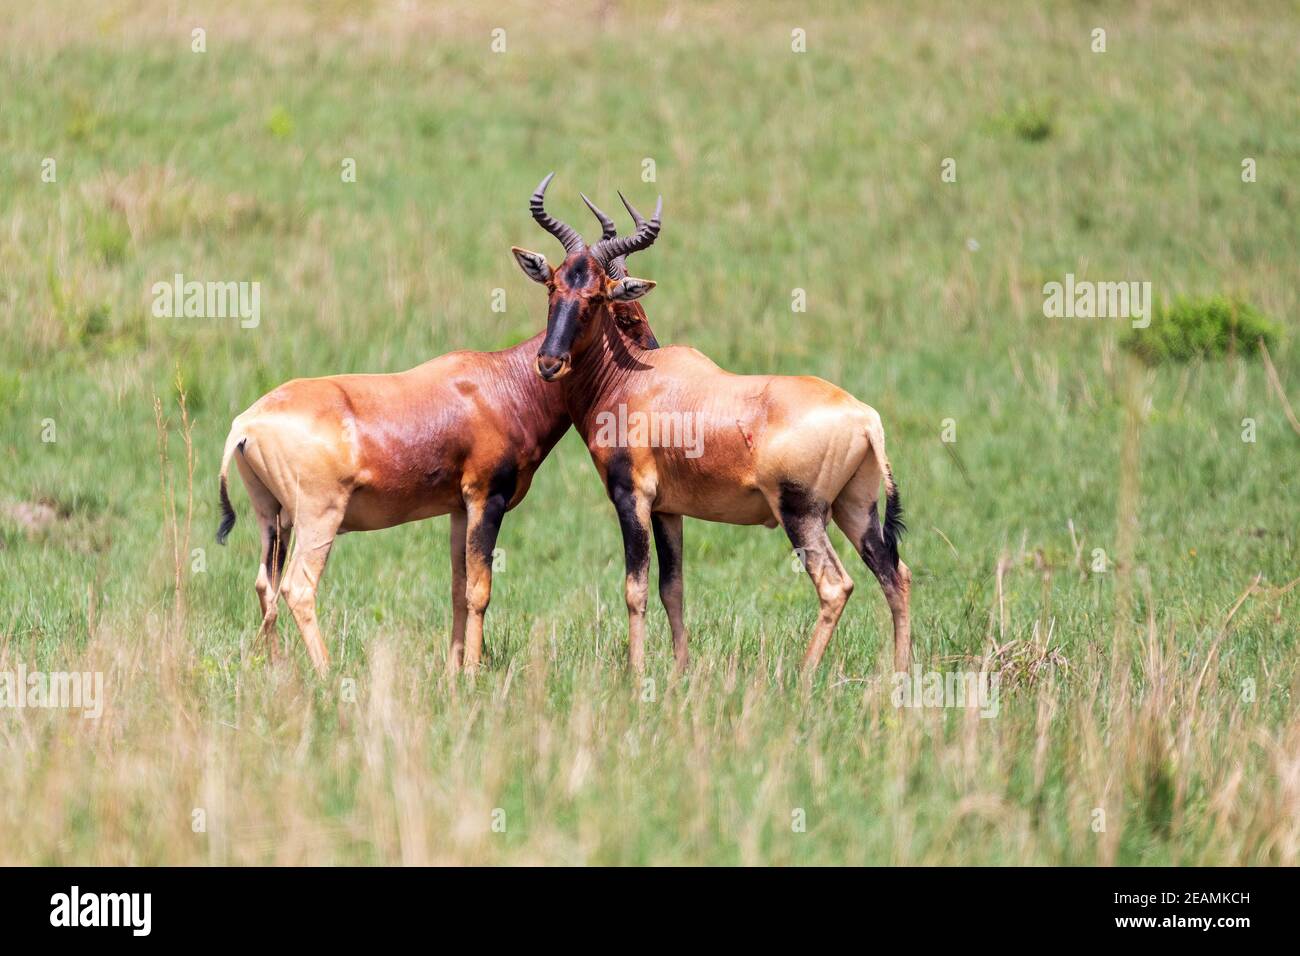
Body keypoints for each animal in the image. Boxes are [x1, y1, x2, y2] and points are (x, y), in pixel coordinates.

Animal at [219, 174, 660, 681]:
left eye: (597, 296)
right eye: (555, 289)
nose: (550, 363)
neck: (498, 381)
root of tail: (247, 423)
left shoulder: (457, 508)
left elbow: (457, 588)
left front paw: (452, 672)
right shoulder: (486, 498)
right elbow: (480, 590)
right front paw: (471, 674)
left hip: (272, 517)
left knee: (265, 585)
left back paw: (275, 670)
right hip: (317, 516)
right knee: (298, 587)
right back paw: (328, 674)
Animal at [509, 180, 915, 671]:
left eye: (598, 297)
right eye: (553, 286)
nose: (549, 362)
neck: (635, 378)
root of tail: (864, 418)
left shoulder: (633, 498)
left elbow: (635, 590)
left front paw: (636, 673)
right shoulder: (668, 509)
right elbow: (673, 589)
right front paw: (680, 672)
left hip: (801, 512)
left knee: (836, 585)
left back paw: (802, 678)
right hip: (856, 508)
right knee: (896, 575)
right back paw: (898, 674)